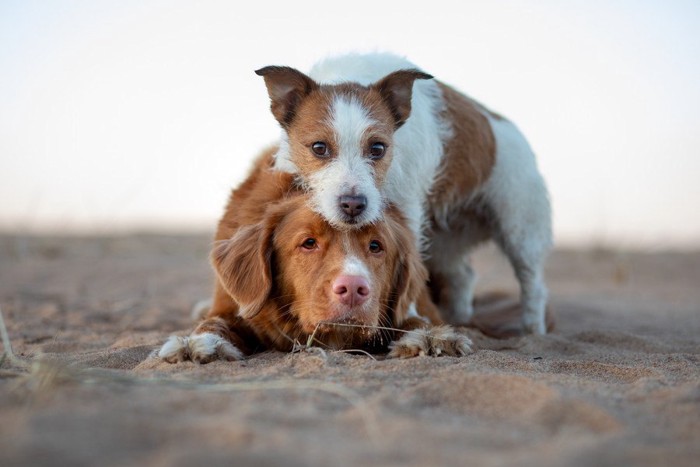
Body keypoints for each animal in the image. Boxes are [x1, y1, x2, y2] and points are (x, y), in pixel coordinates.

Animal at [160, 152, 470, 364]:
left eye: (376, 246)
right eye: (309, 243)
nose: (354, 288)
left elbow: (415, 318)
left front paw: (430, 337)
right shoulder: (231, 303)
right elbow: (216, 322)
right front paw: (198, 342)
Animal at [258, 53, 552, 334]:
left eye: (378, 148)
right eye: (319, 147)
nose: (353, 205)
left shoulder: (408, 213)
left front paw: (409, 319)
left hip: (521, 231)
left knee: (533, 284)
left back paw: (532, 330)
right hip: (445, 243)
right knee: (463, 276)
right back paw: (459, 321)